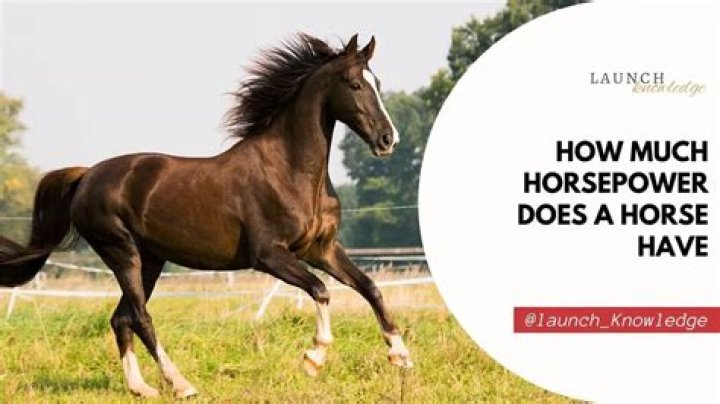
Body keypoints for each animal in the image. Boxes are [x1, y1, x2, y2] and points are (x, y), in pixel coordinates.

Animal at [0, 33, 412, 398]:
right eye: (355, 84)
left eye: (377, 83)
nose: (388, 140)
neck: (290, 170)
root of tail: (86, 176)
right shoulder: (269, 256)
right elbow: (320, 290)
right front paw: (314, 357)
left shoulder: (321, 249)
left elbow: (369, 287)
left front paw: (401, 356)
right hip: (121, 252)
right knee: (141, 318)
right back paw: (181, 384)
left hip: (150, 259)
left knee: (122, 318)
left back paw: (141, 388)